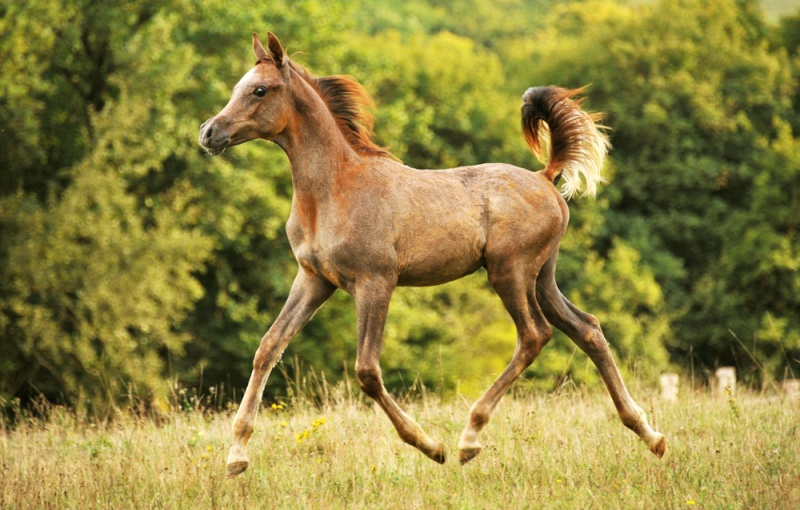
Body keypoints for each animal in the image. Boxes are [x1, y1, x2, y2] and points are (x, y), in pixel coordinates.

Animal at [200, 31, 668, 478]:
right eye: (240, 85)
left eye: (260, 90)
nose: (208, 132)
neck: (334, 191)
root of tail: (545, 176)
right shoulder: (314, 279)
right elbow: (269, 346)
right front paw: (236, 456)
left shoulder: (375, 282)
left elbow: (366, 371)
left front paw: (431, 446)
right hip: (541, 276)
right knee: (587, 328)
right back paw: (650, 434)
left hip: (509, 272)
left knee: (535, 335)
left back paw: (468, 439)